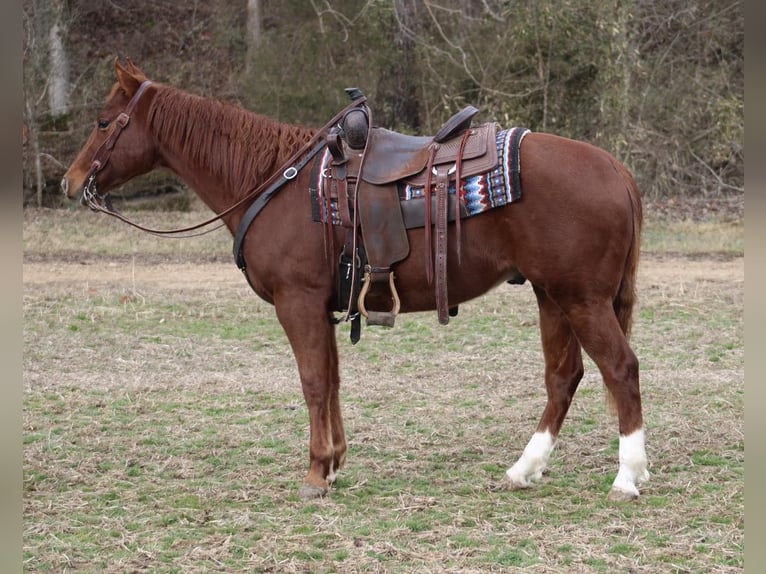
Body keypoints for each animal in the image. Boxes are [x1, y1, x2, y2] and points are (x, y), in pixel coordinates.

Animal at [61, 59, 648, 504]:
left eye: (102, 121)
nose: (70, 182)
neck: (277, 183)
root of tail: (615, 168)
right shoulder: (324, 307)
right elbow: (333, 380)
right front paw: (336, 463)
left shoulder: (297, 303)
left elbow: (313, 381)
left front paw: (316, 472)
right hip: (552, 296)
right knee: (564, 377)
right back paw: (525, 468)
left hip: (581, 299)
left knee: (620, 369)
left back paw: (626, 476)